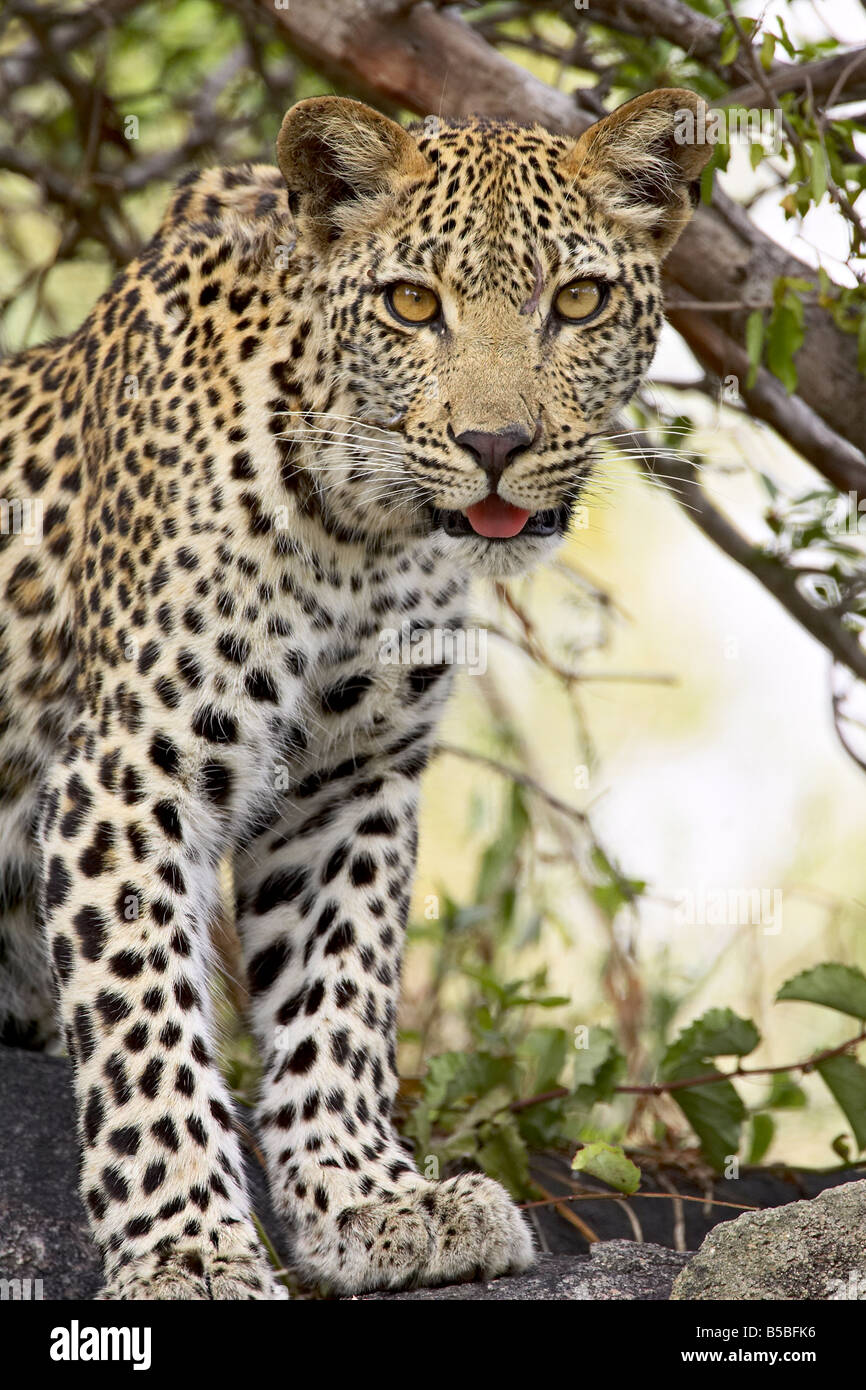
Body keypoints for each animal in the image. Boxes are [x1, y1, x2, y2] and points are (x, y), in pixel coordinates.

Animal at [0, 86, 711, 1295]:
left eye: (576, 300)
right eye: (411, 303)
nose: (493, 444)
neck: (361, 528)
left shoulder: (349, 776)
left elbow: (338, 989)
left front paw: (373, 1199)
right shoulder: (132, 767)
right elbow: (146, 1022)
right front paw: (187, 1246)